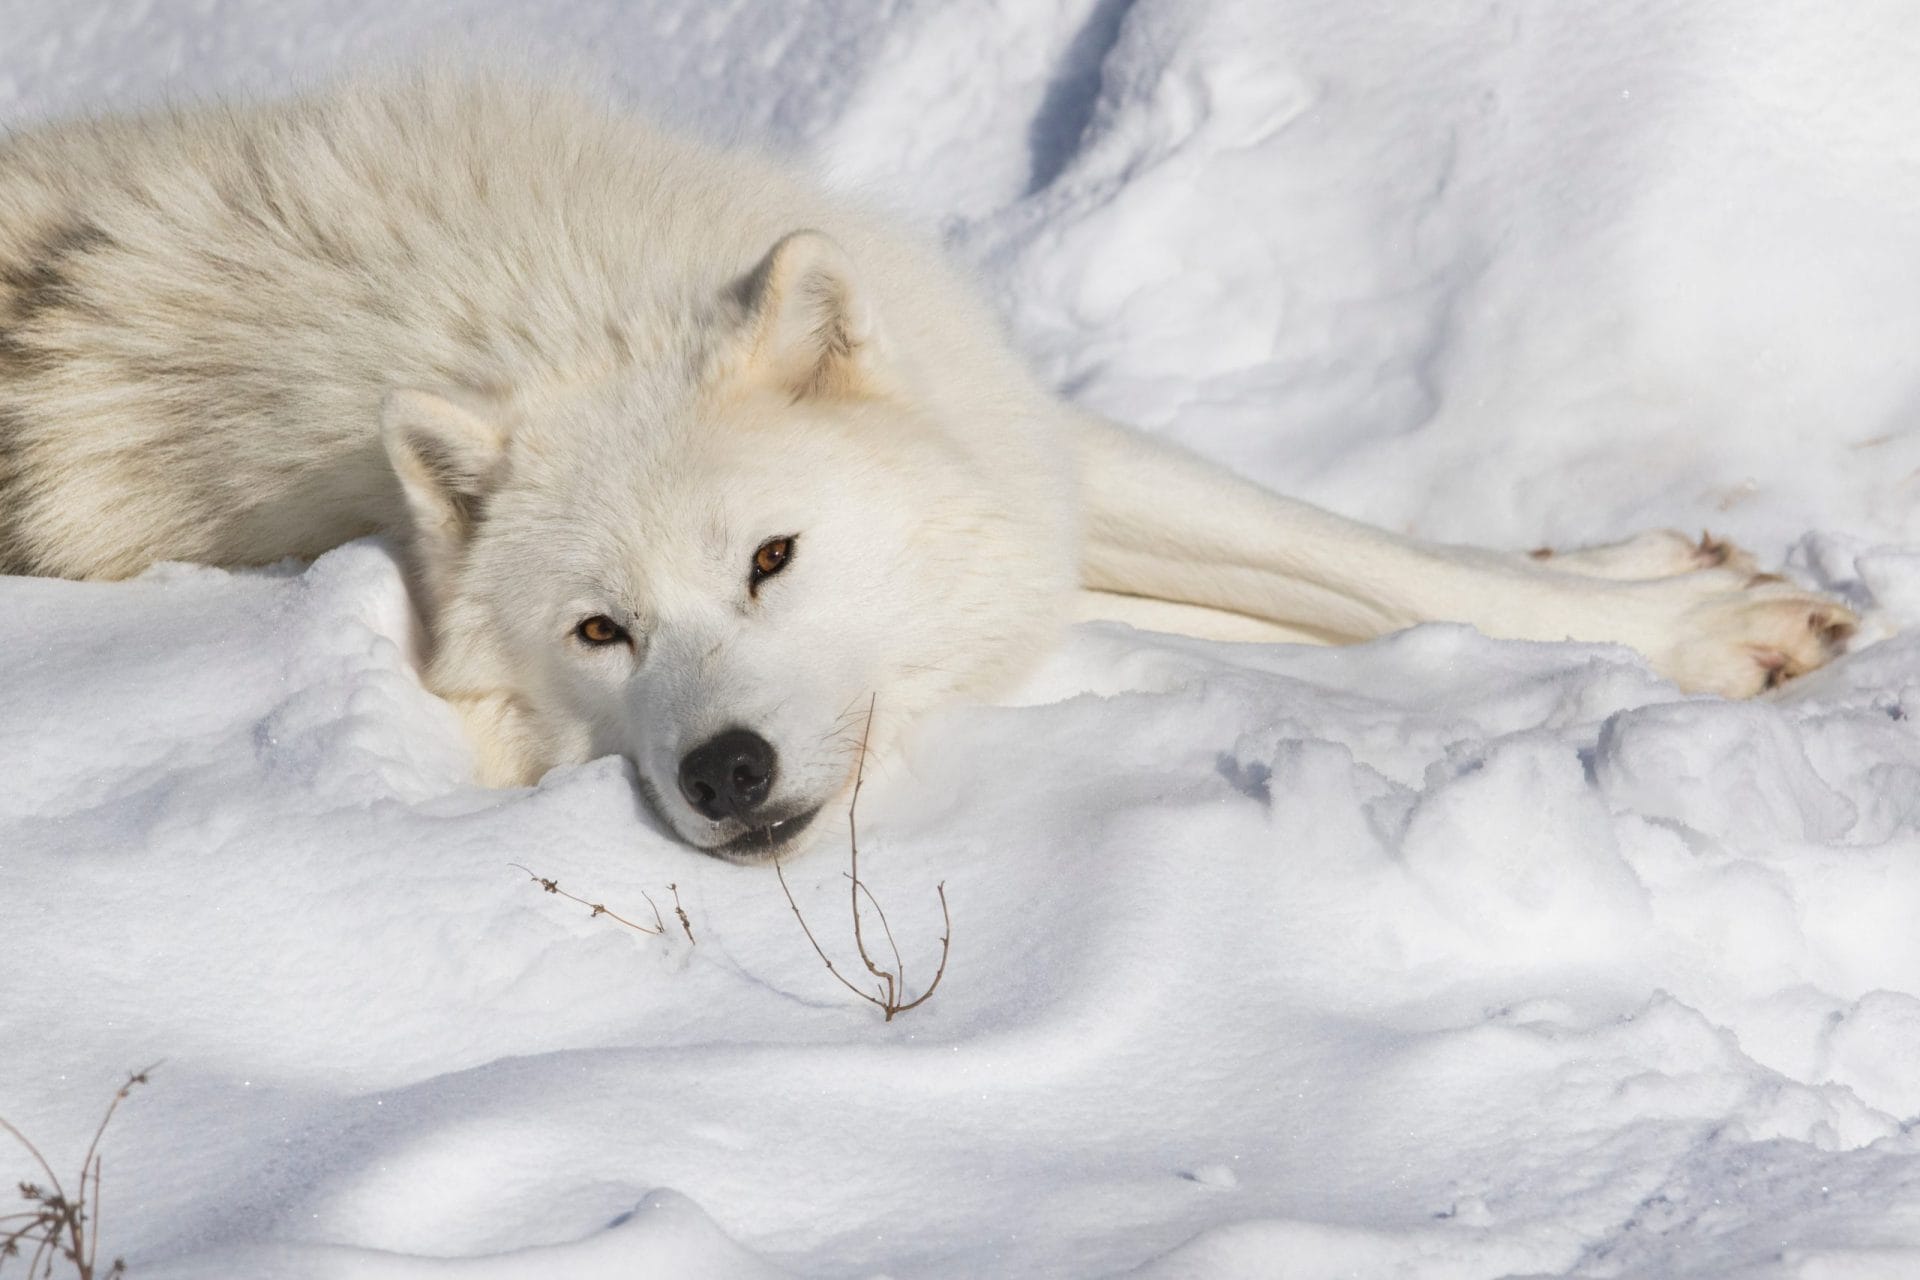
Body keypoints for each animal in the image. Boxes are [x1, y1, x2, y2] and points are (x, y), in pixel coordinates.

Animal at [0, 74, 1856, 858]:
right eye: (602, 635)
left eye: (770, 560)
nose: (726, 774)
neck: (537, 305)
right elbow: (1290, 622)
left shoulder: (1031, 454)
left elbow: (1370, 566)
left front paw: (1671, 606)